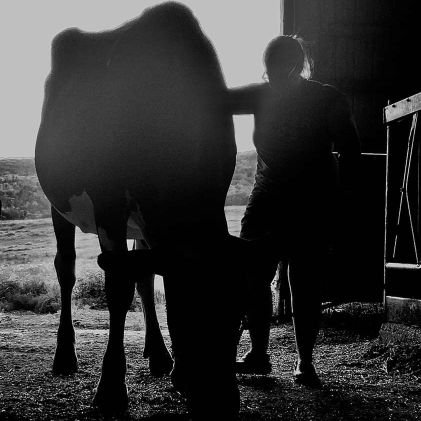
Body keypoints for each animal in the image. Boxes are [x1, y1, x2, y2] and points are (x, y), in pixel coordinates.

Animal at [35, 2, 243, 416]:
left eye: (241, 318)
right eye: (193, 307)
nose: (224, 402)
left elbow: (145, 278)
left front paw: (172, 366)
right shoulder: (109, 206)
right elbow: (118, 288)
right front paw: (110, 390)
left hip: (141, 221)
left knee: (144, 276)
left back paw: (159, 355)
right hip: (59, 205)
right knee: (66, 270)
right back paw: (65, 356)